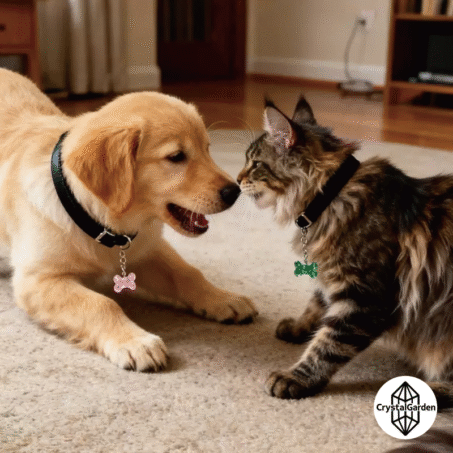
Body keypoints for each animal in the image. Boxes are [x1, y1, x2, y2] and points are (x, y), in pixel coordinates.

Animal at [0, 68, 257, 371]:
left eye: (207, 148)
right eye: (176, 157)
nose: (235, 191)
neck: (102, 223)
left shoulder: (147, 249)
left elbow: (188, 273)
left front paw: (222, 298)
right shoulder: (37, 279)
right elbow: (101, 304)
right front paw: (135, 342)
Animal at [237, 96, 453, 407]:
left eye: (254, 164)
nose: (236, 179)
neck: (329, 198)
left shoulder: (365, 297)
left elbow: (328, 345)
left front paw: (295, 377)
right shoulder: (331, 277)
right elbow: (316, 303)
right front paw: (298, 327)